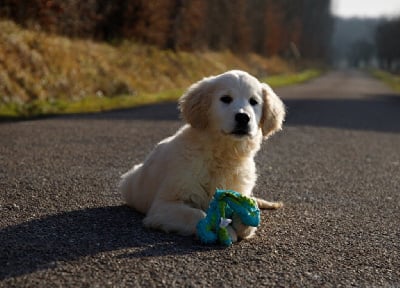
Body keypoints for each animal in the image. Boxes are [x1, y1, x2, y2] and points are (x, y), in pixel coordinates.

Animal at [119, 70, 284, 241]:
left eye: (254, 102)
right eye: (226, 99)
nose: (243, 117)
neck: (223, 153)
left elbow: (247, 213)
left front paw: (244, 221)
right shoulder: (164, 205)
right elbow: (197, 214)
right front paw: (225, 230)